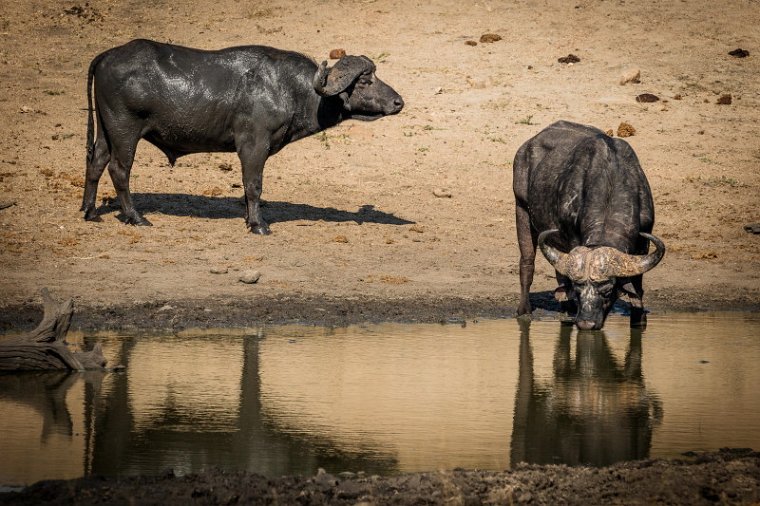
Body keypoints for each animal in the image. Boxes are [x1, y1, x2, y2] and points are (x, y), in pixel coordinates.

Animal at [78, 39, 404, 233]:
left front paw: (250, 218)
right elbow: (254, 186)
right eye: (365, 80)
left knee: (96, 163)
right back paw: (136, 217)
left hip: (108, 131)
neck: (289, 88)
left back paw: (90, 211)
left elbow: (249, 189)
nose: (398, 102)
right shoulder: (254, 145)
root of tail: (108, 55)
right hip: (125, 130)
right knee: (119, 170)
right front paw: (258, 224)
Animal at [510, 120, 664, 330]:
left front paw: (638, 318)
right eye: (578, 290)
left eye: (607, 291)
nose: (586, 323)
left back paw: (566, 310)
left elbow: (637, 287)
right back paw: (525, 310)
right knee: (527, 262)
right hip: (521, 207)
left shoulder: (644, 241)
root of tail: (526, 146)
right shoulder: (571, 236)